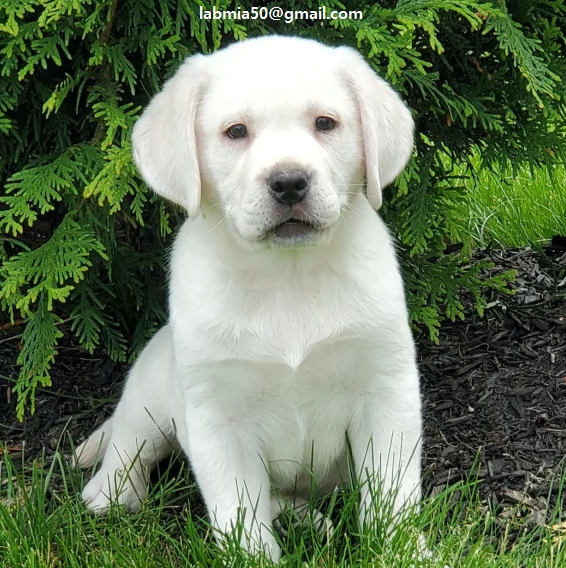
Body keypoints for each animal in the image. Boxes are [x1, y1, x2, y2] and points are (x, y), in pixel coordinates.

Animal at [74, 35, 422, 564]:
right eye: (236, 131)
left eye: (325, 123)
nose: (289, 182)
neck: (288, 276)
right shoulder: (218, 417)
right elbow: (239, 510)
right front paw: (255, 556)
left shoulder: (386, 391)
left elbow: (392, 490)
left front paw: (406, 550)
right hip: (150, 389)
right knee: (131, 443)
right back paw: (111, 491)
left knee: (281, 497)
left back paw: (308, 520)